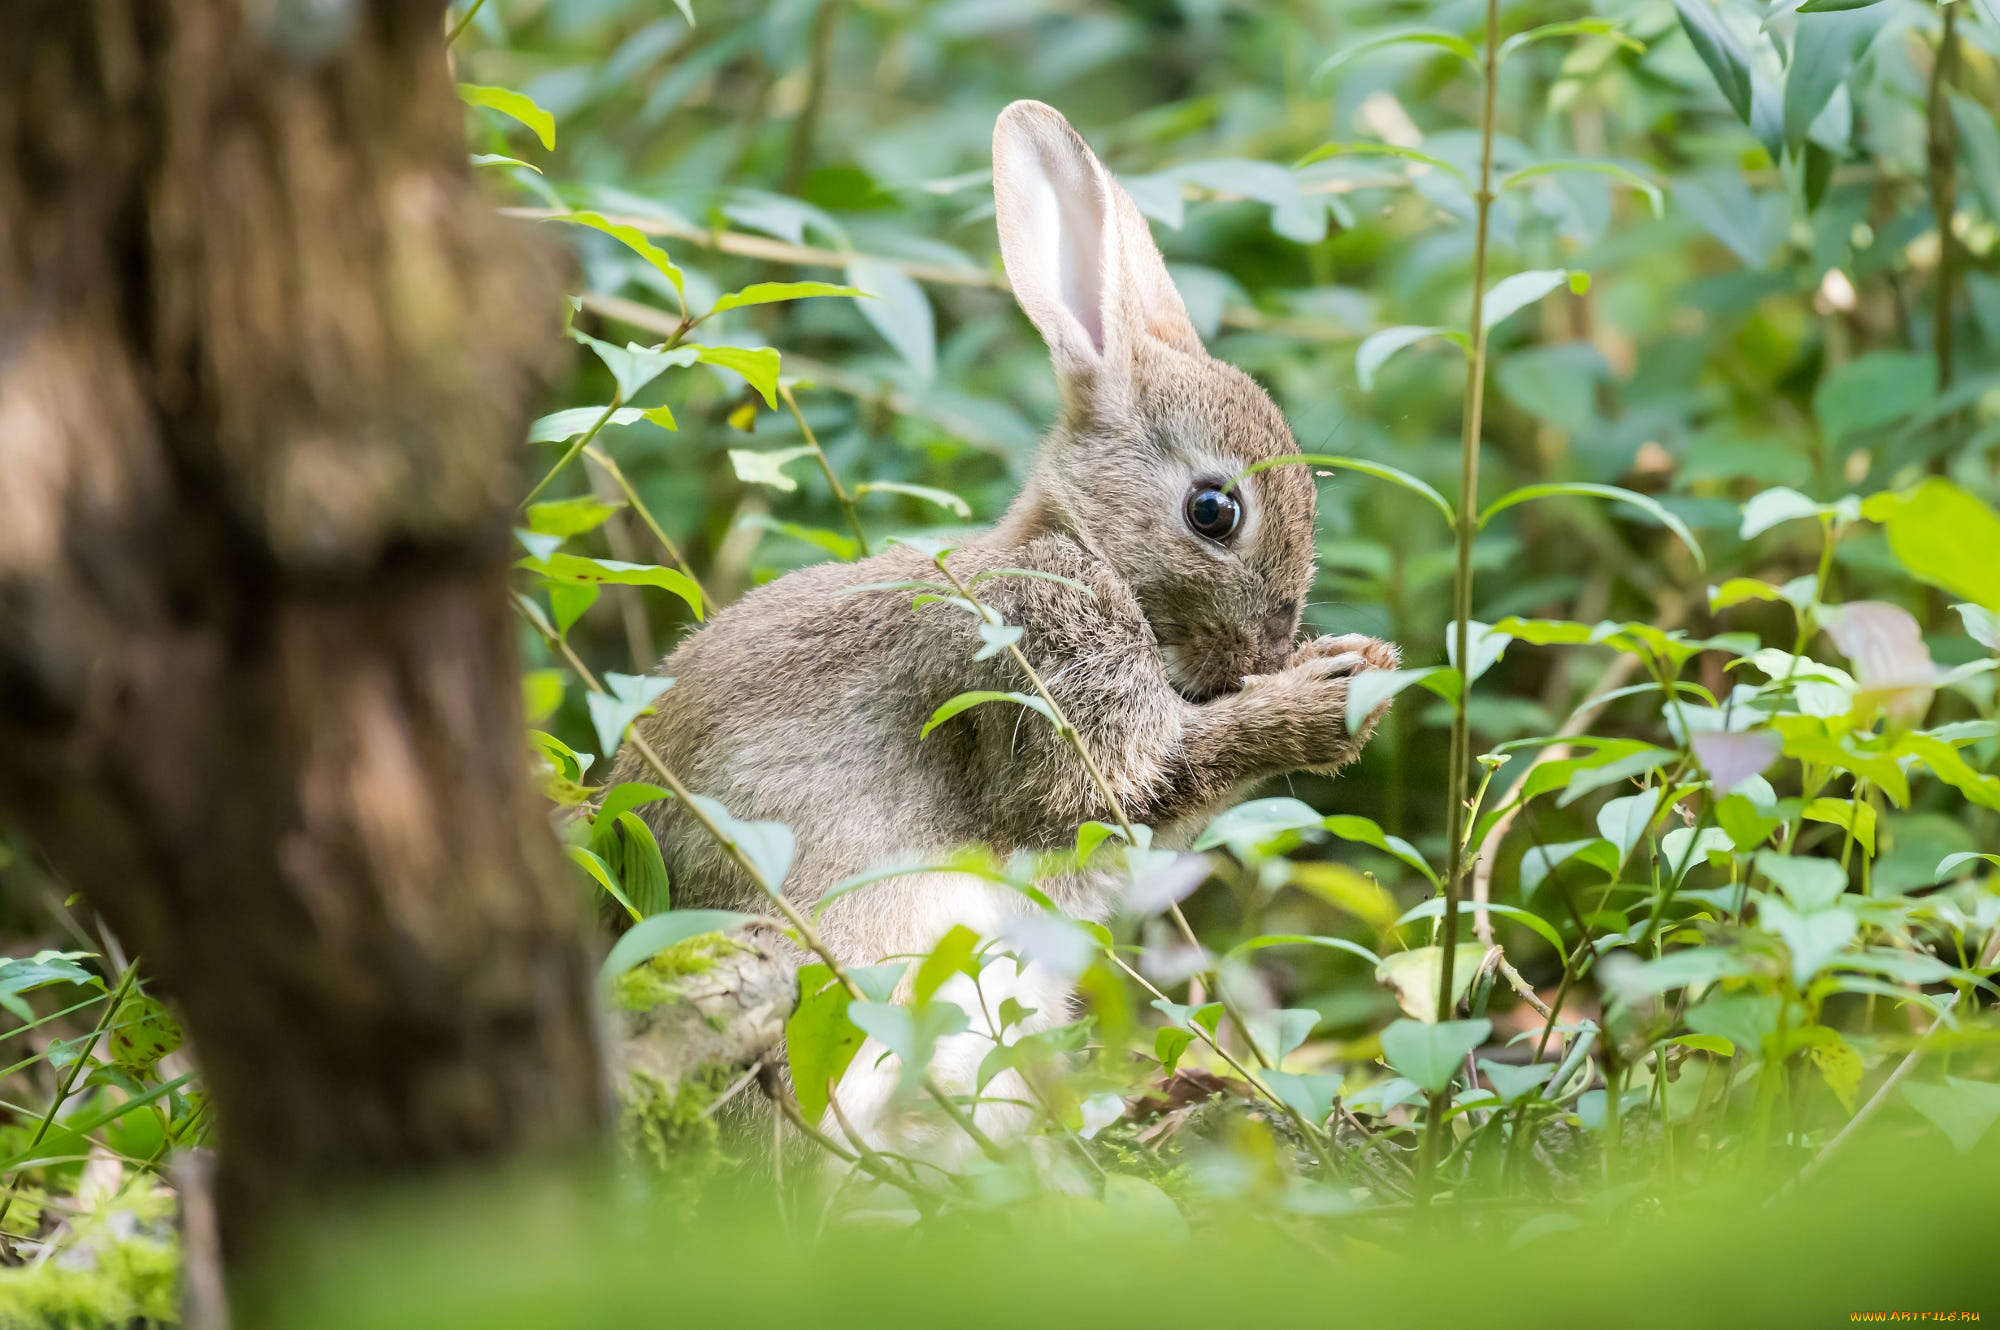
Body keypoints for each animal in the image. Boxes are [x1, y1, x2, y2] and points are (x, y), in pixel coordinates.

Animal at [616, 101, 1400, 1160]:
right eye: (1213, 511)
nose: (1273, 651)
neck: (1077, 547)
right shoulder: (1041, 691)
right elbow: (1146, 781)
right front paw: (1331, 695)